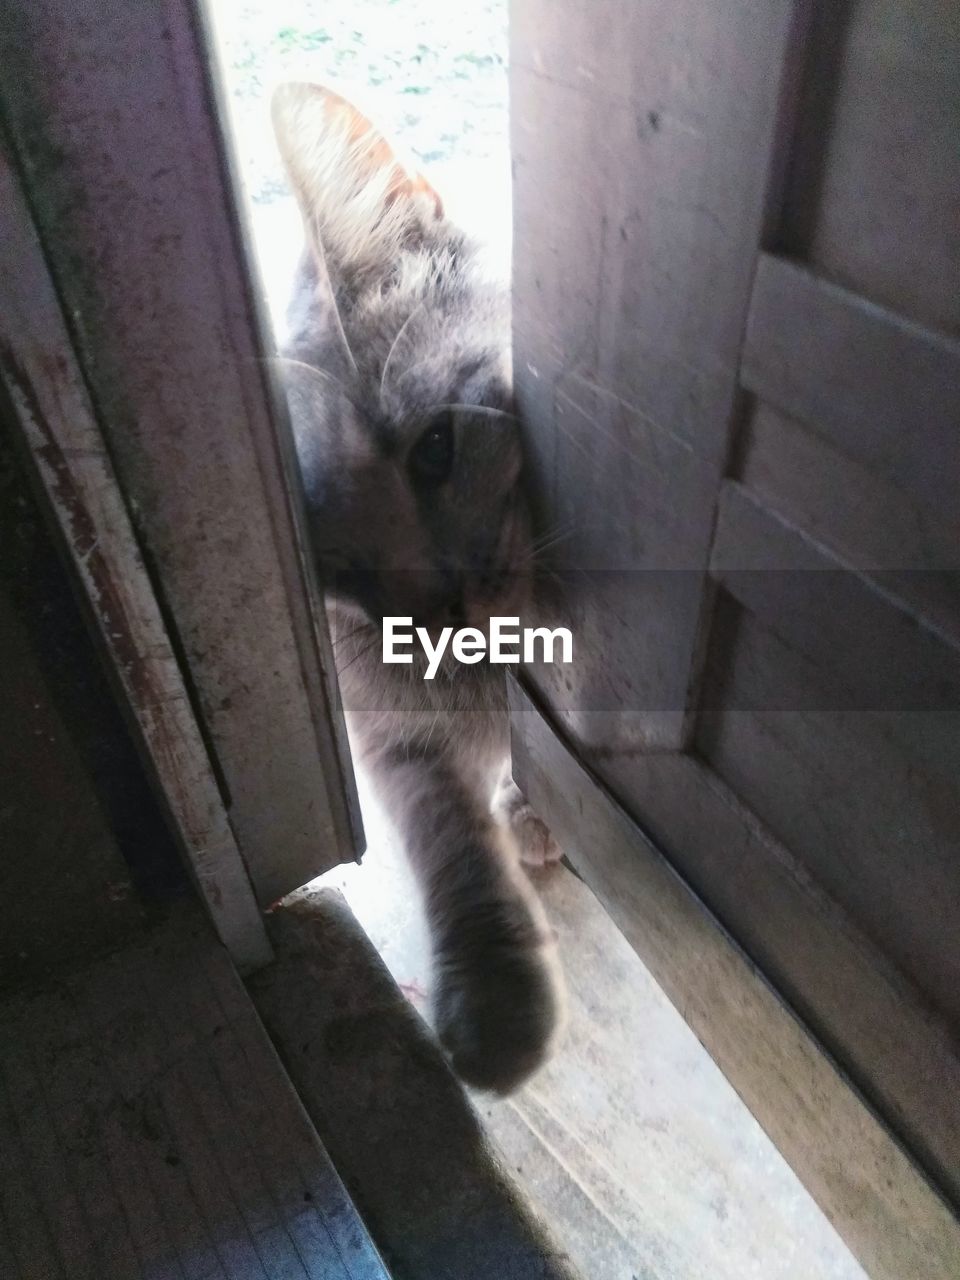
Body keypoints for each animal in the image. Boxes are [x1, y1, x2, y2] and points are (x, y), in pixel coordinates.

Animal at [272, 82, 563, 1090]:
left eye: (436, 449)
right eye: (338, 570)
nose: (441, 606)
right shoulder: (388, 736)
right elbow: (445, 829)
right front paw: (493, 993)